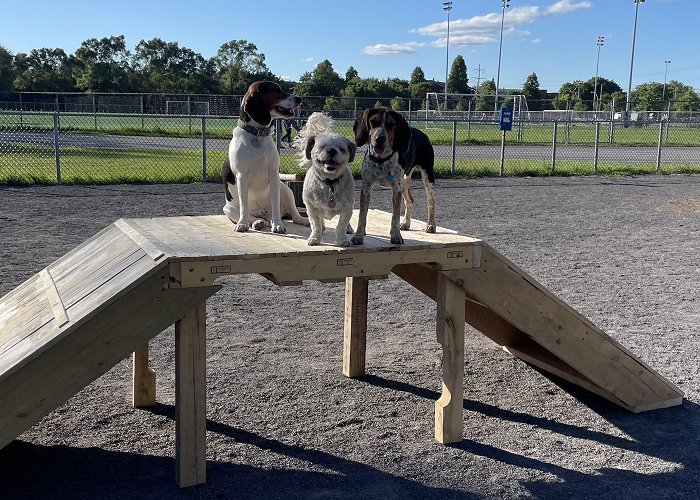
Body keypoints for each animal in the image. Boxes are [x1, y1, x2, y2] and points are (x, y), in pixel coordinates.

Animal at [224, 81, 308, 233]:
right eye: (277, 91)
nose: (299, 98)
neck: (257, 134)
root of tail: (263, 213)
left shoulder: (274, 175)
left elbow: (275, 204)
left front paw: (278, 225)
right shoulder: (242, 176)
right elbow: (244, 205)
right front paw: (242, 224)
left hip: (286, 190)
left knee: (293, 215)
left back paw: (299, 220)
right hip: (228, 209)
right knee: (255, 217)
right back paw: (258, 222)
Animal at [296, 113, 358, 246]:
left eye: (341, 148)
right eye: (322, 146)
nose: (332, 150)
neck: (330, 182)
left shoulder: (347, 207)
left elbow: (341, 225)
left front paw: (343, 240)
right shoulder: (312, 207)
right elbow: (316, 224)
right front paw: (315, 238)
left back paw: (349, 228)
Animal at [352, 108, 434, 246]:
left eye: (391, 124)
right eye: (373, 121)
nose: (380, 138)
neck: (381, 161)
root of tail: (421, 132)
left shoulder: (396, 190)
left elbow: (395, 217)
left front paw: (396, 236)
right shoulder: (366, 188)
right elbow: (362, 215)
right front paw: (358, 235)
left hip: (427, 176)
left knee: (431, 201)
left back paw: (431, 225)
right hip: (404, 181)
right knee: (410, 201)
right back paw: (406, 223)